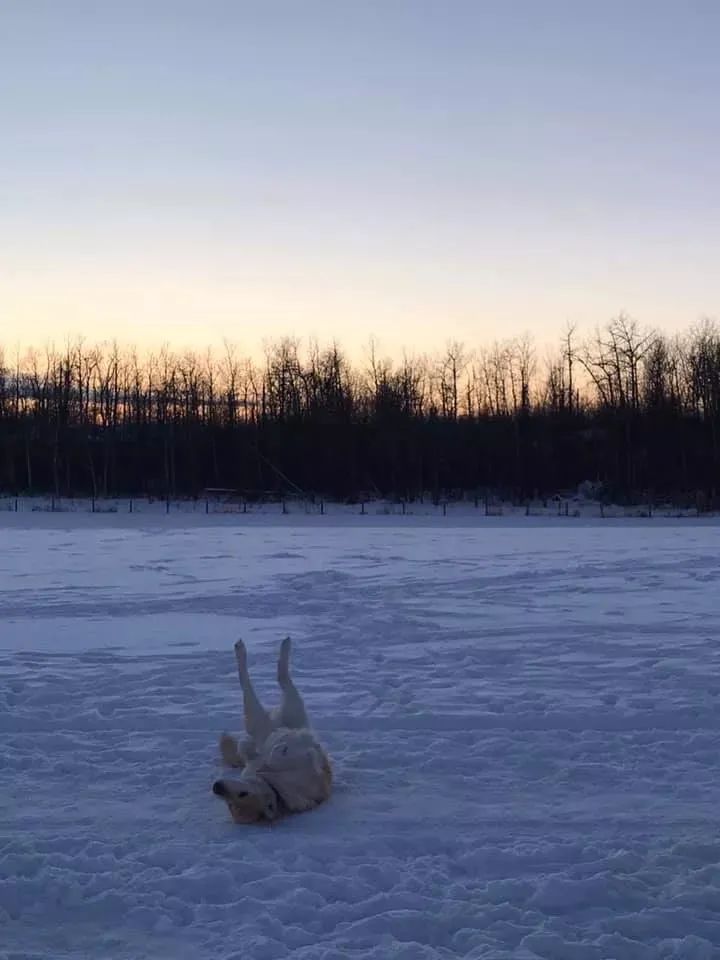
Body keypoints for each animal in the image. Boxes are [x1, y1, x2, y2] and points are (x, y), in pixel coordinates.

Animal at [210, 636, 330, 824]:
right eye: (229, 804)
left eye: (242, 794)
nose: (217, 787)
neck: (276, 788)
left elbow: (283, 755)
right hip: (279, 715)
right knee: (279, 678)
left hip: (277, 715)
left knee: (276, 679)